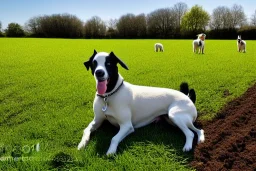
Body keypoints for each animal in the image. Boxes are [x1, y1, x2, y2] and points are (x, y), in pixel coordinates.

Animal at [77, 49, 205, 155]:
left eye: (108, 64)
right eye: (94, 64)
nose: (99, 72)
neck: (109, 95)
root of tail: (188, 98)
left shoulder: (127, 126)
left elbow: (114, 138)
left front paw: (110, 151)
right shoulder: (97, 121)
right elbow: (86, 130)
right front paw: (82, 143)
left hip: (175, 115)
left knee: (191, 132)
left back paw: (188, 146)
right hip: (171, 119)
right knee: (198, 130)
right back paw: (200, 138)